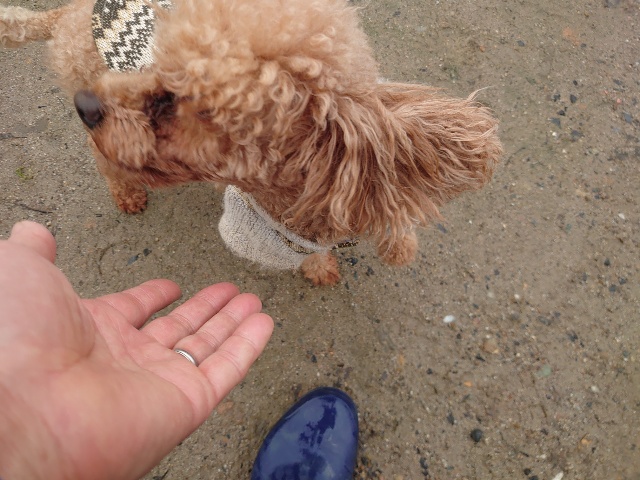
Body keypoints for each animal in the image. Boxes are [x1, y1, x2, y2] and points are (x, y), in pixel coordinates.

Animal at [1, 0, 502, 285]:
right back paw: (126, 192)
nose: (86, 105)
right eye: (157, 68)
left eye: (180, 101)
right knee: (106, 163)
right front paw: (318, 268)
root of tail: (64, 14)